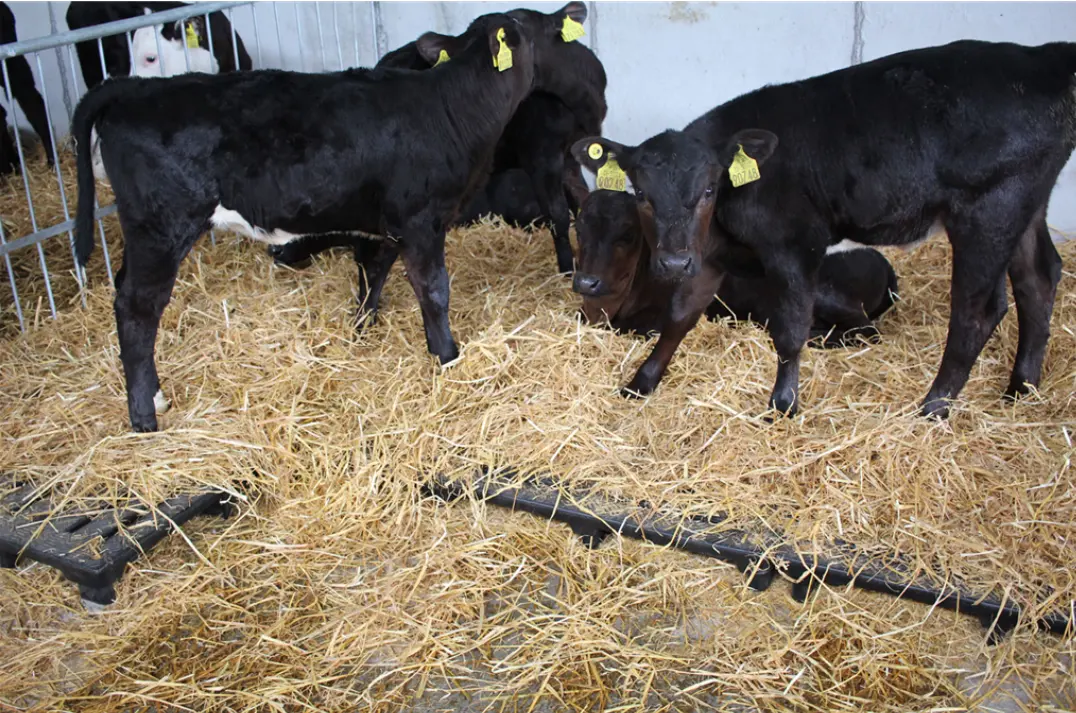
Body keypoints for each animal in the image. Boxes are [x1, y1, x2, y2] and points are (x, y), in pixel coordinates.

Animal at [71, 13, 583, 433]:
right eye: (538, 26)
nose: (567, 19)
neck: (452, 107)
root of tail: (134, 89)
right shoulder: (422, 220)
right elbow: (434, 290)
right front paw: (447, 356)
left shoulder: (389, 223)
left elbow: (373, 272)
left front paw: (361, 328)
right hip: (163, 225)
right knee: (138, 309)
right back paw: (145, 415)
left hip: (145, 232)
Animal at [268, 2, 607, 276]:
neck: (574, 98)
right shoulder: (541, 155)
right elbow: (559, 215)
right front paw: (566, 270)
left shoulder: (571, 154)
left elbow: (584, 201)